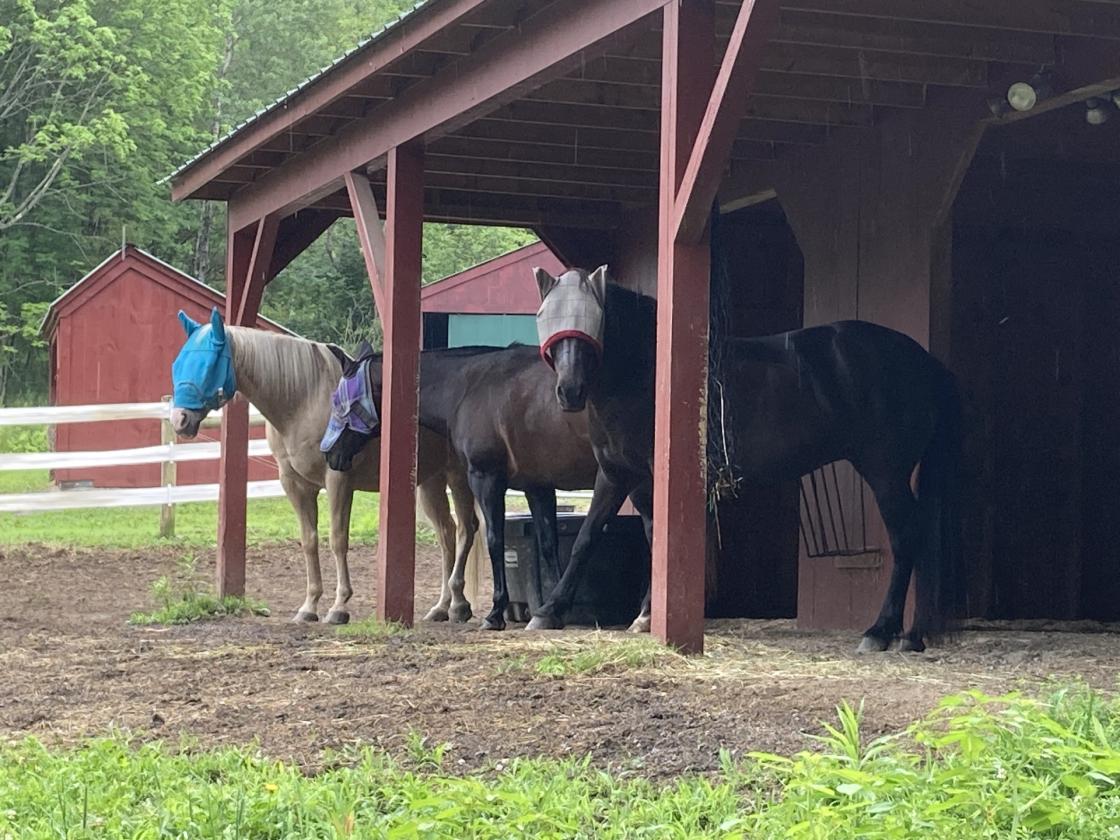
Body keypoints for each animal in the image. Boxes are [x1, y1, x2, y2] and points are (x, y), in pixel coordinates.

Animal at [169, 308, 479, 625]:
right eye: (178, 363)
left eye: (208, 363)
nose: (180, 420)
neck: (303, 400)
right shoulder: (294, 484)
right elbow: (309, 540)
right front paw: (309, 606)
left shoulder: (338, 479)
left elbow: (337, 539)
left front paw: (339, 607)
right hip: (430, 481)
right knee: (446, 533)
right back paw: (441, 606)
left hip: (458, 477)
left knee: (466, 530)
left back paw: (459, 604)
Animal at [322, 344, 599, 631]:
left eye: (339, 402)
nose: (330, 455)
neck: (469, 387)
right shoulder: (537, 486)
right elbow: (548, 545)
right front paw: (552, 610)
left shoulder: (486, 479)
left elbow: (494, 540)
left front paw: (495, 613)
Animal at [530, 266, 964, 652]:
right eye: (547, 321)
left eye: (592, 323)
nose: (569, 391)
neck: (650, 373)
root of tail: (926, 364)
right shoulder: (618, 474)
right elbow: (592, 537)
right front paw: (558, 611)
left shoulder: (650, 476)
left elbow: (649, 539)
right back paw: (912, 636)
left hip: (885, 472)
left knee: (906, 537)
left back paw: (880, 630)